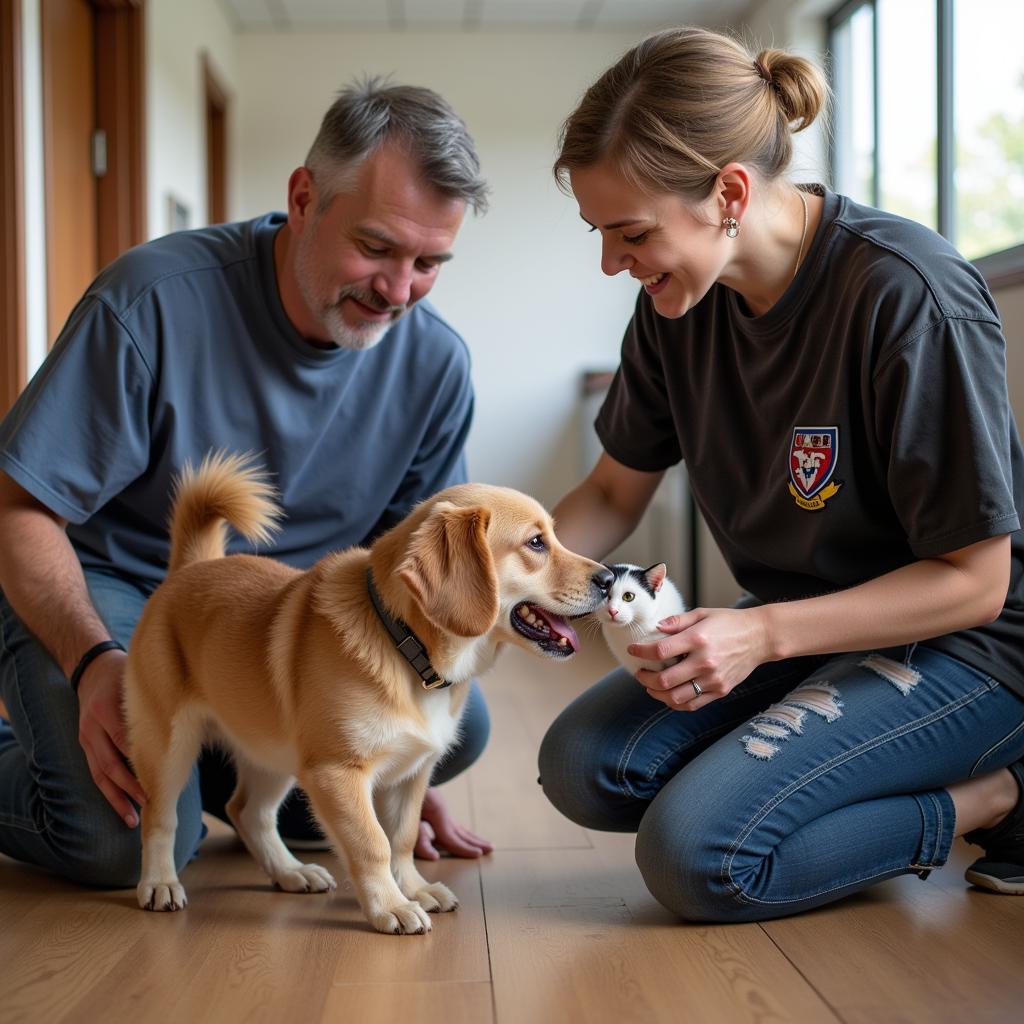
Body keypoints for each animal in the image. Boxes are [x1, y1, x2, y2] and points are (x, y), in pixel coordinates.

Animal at [123, 452, 610, 933]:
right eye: (536, 543)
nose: (610, 579)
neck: (408, 649)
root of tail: (192, 567)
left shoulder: (411, 773)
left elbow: (403, 838)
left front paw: (414, 889)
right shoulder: (337, 771)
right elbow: (371, 843)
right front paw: (389, 907)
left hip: (272, 753)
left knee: (248, 811)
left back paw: (290, 872)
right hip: (168, 745)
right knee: (160, 817)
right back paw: (160, 883)